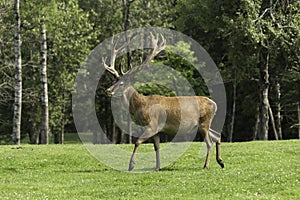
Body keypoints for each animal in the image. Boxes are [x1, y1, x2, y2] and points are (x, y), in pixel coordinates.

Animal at [102, 32, 224, 170]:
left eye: (122, 83)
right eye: (114, 81)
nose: (108, 90)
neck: (141, 106)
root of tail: (214, 104)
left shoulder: (153, 124)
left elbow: (137, 141)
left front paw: (131, 165)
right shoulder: (157, 130)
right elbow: (156, 147)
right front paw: (157, 167)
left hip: (204, 122)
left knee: (209, 142)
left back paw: (206, 165)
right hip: (202, 125)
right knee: (217, 135)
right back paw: (220, 161)